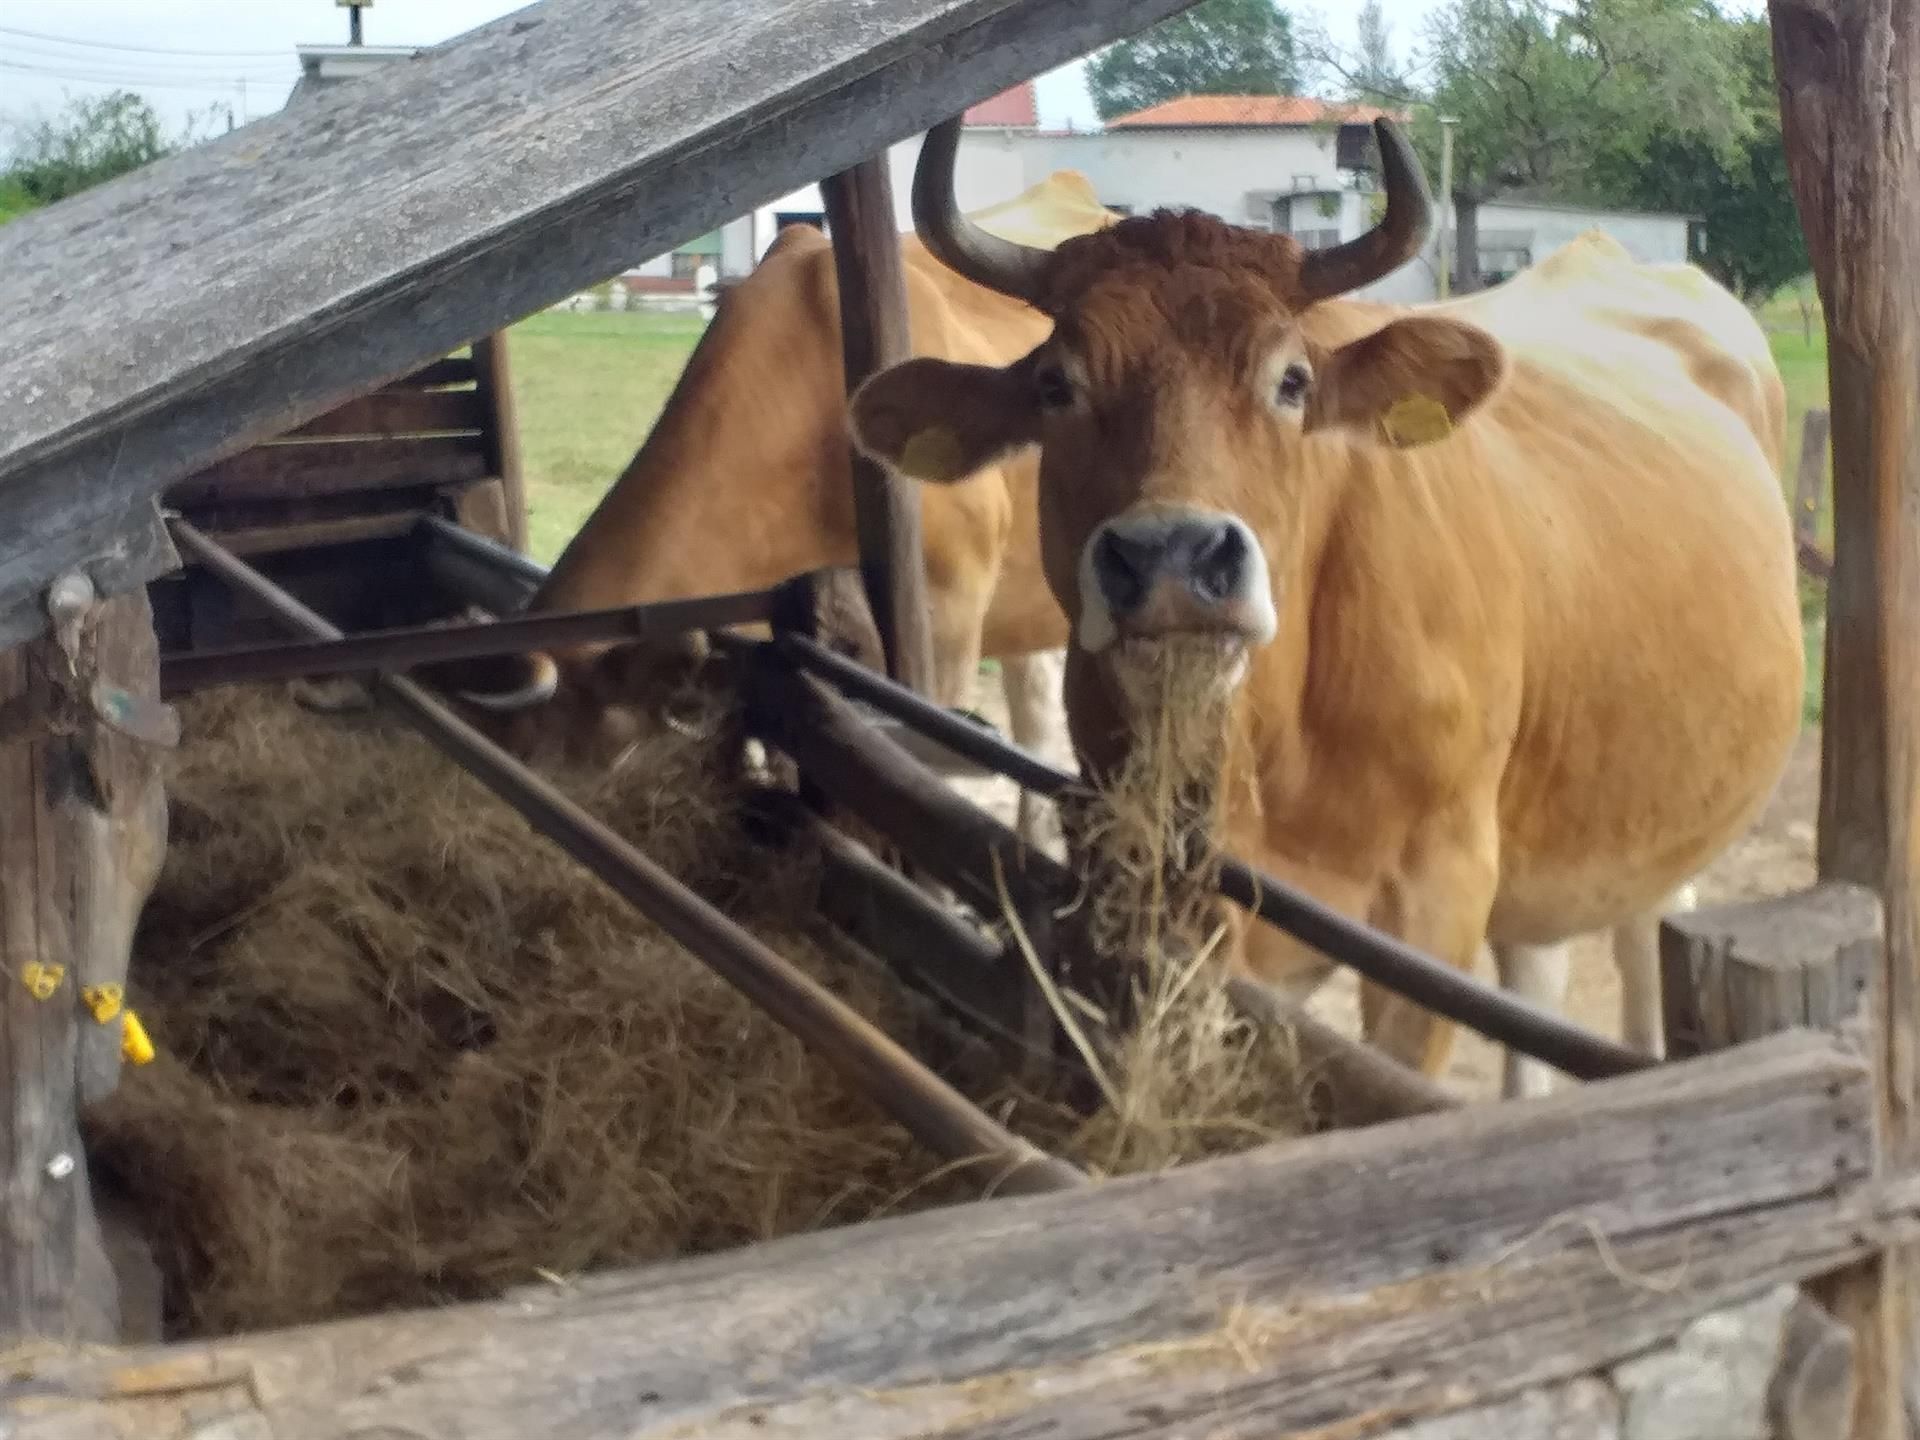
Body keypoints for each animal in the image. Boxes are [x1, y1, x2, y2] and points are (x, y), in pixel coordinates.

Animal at [856, 121, 1797, 1090]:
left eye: (1292, 381)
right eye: (1056, 385)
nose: (1173, 557)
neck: (1265, 745)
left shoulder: (1438, 893)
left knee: (1644, 930)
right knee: (1537, 965)